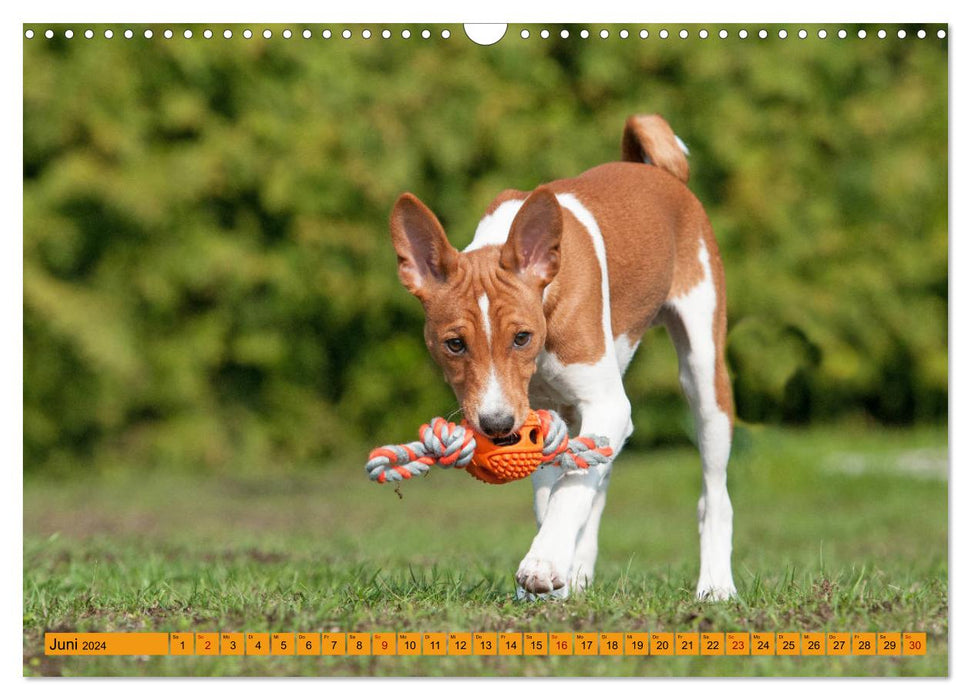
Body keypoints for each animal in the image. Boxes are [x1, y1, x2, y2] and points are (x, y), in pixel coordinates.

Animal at [388, 115, 736, 600]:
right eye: (454, 344)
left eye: (522, 337)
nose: (496, 425)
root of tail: (657, 173)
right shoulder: (539, 413)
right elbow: (553, 493)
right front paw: (555, 577)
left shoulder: (607, 404)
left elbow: (569, 489)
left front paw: (543, 563)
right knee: (597, 481)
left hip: (703, 375)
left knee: (713, 494)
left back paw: (716, 584)